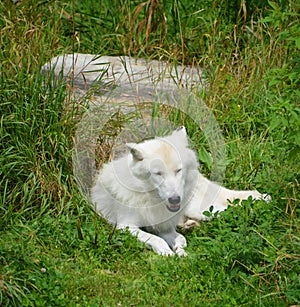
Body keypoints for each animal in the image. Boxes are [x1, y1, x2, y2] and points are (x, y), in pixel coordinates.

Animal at [91, 126, 270, 256]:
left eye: (178, 170)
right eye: (158, 173)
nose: (175, 199)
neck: (150, 199)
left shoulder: (162, 227)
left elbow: (180, 240)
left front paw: (180, 252)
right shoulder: (125, 226)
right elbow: (158, 240)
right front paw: (168, 253)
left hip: (201, 209)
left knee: (233, 207)